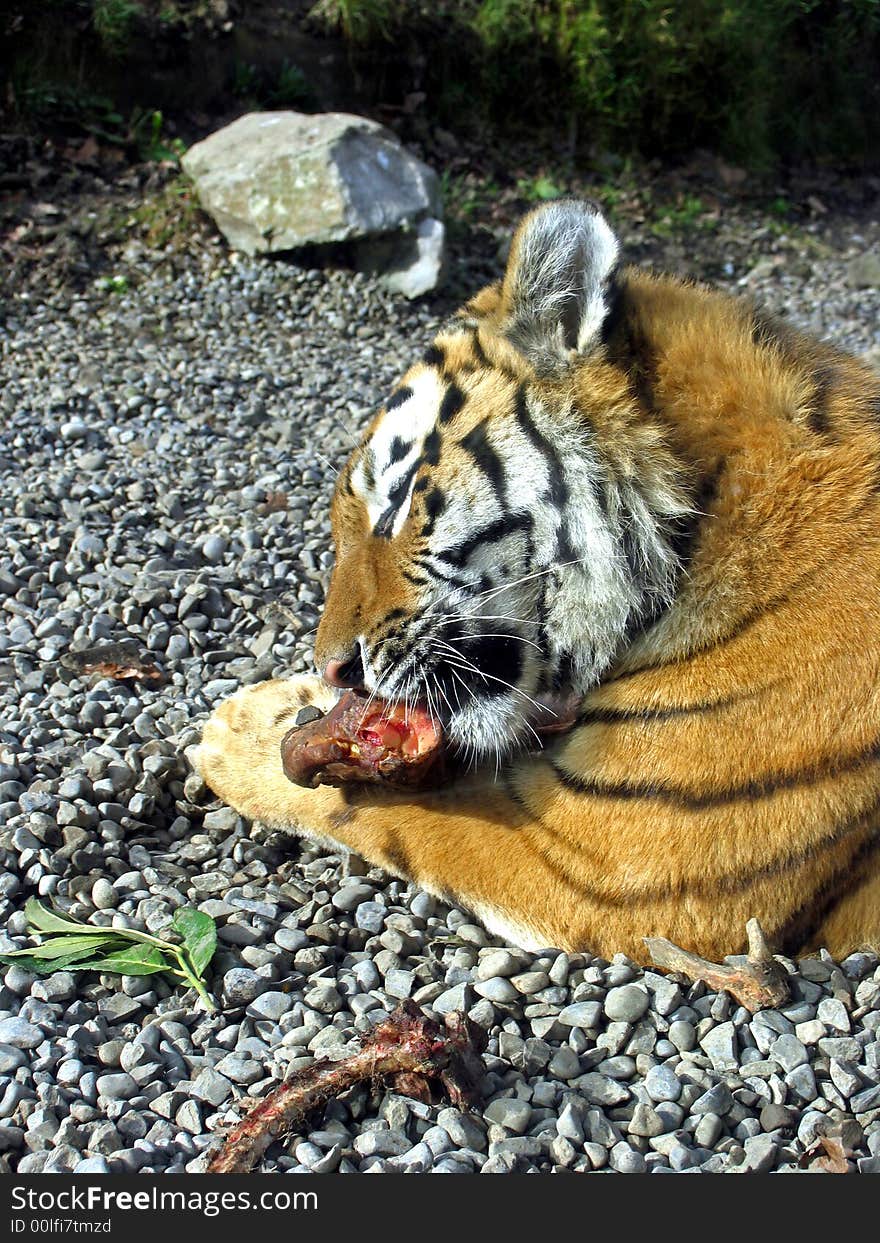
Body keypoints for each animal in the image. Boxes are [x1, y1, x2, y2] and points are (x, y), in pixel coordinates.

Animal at [193, 198, 879, 964]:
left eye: (395, 500)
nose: (333, 668)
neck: (698, 520)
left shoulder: (610, 849)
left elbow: (390, 809)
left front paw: (239, 730)